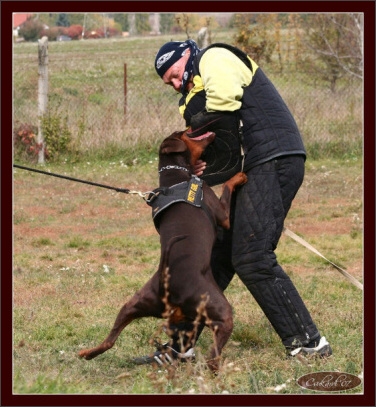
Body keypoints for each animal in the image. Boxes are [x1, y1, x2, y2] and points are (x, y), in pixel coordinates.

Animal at [79, 131, 247, 372]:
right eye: (184, 133)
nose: (192, 127)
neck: (177, 177)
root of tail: (169, 292)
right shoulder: (221, 213)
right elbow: (227, 186)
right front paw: (239, 176)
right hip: (220, 310)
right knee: (213, 354)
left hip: (135, 303)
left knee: (110, 339)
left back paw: (86, 353)